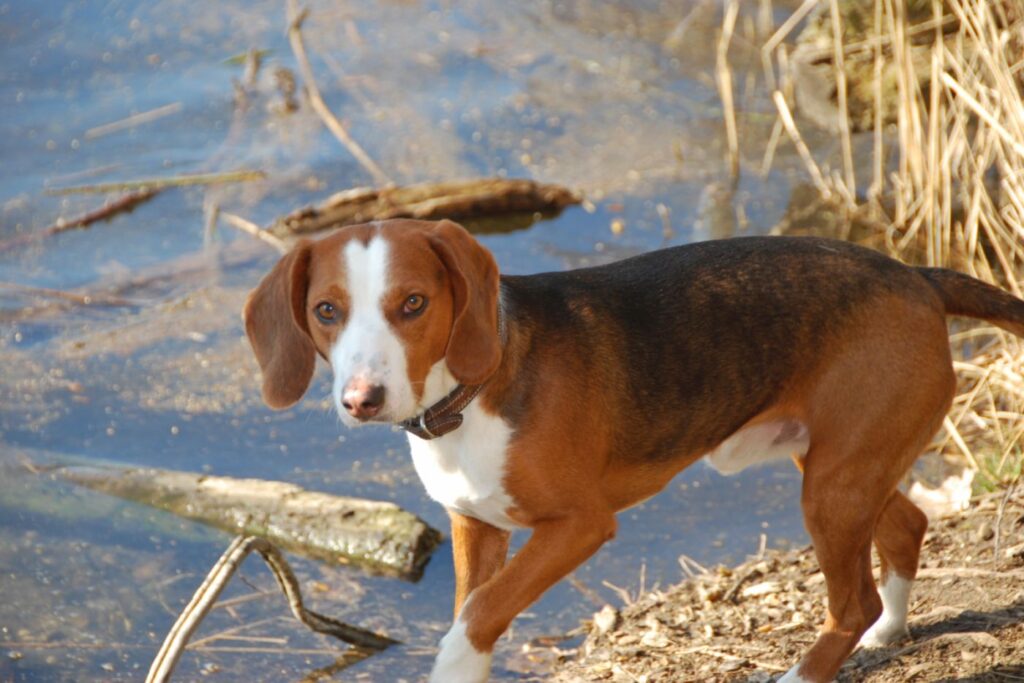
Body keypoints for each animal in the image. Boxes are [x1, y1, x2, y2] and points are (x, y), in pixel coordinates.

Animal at [243, 220, 1019, 683]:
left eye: (412, 304)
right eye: (326, 311)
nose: (363, 399)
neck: (471, 393)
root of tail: (915, 275)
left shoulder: (579, 526)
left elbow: (478, 616)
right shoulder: (476, 525)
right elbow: (474, 606)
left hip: (832, 487)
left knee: (851, 599)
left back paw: (810, 668)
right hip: (841, 468)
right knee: (907, 529)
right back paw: (889, 631)